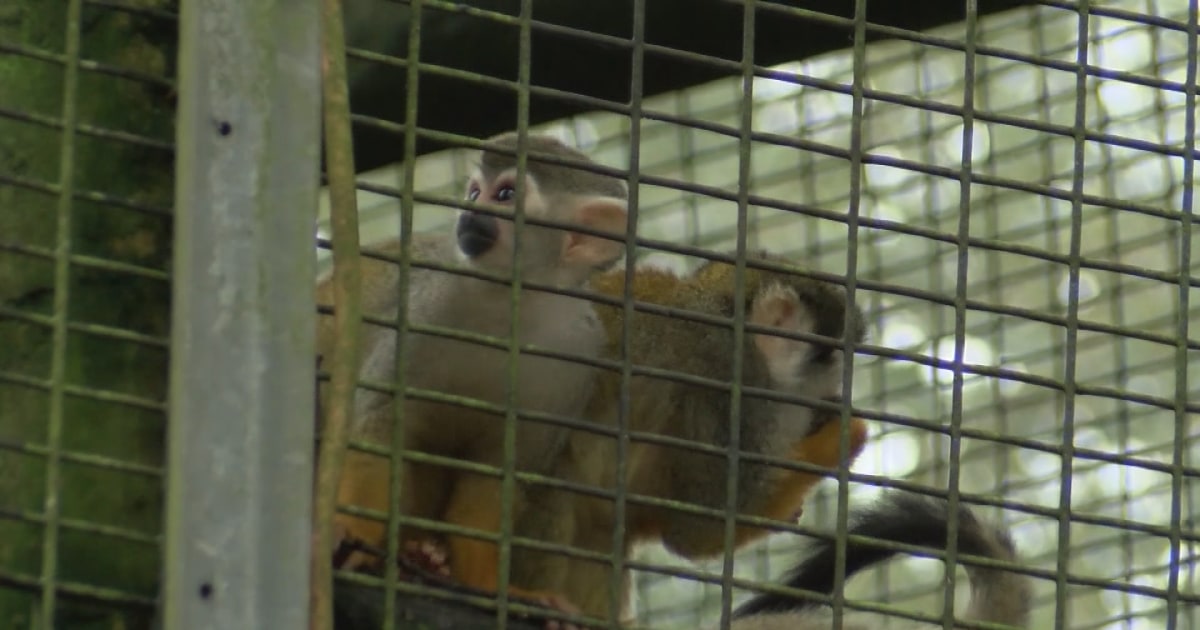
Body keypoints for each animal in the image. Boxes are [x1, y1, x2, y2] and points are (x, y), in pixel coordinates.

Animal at [315, 131, 629, 612]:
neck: (509, 306)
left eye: (505, 195)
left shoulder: (575, 362)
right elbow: (378, 424)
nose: (468, 214)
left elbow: (494, 475)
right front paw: (349, 531)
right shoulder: (427, 305)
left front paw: (492, 588)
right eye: (474, 193)